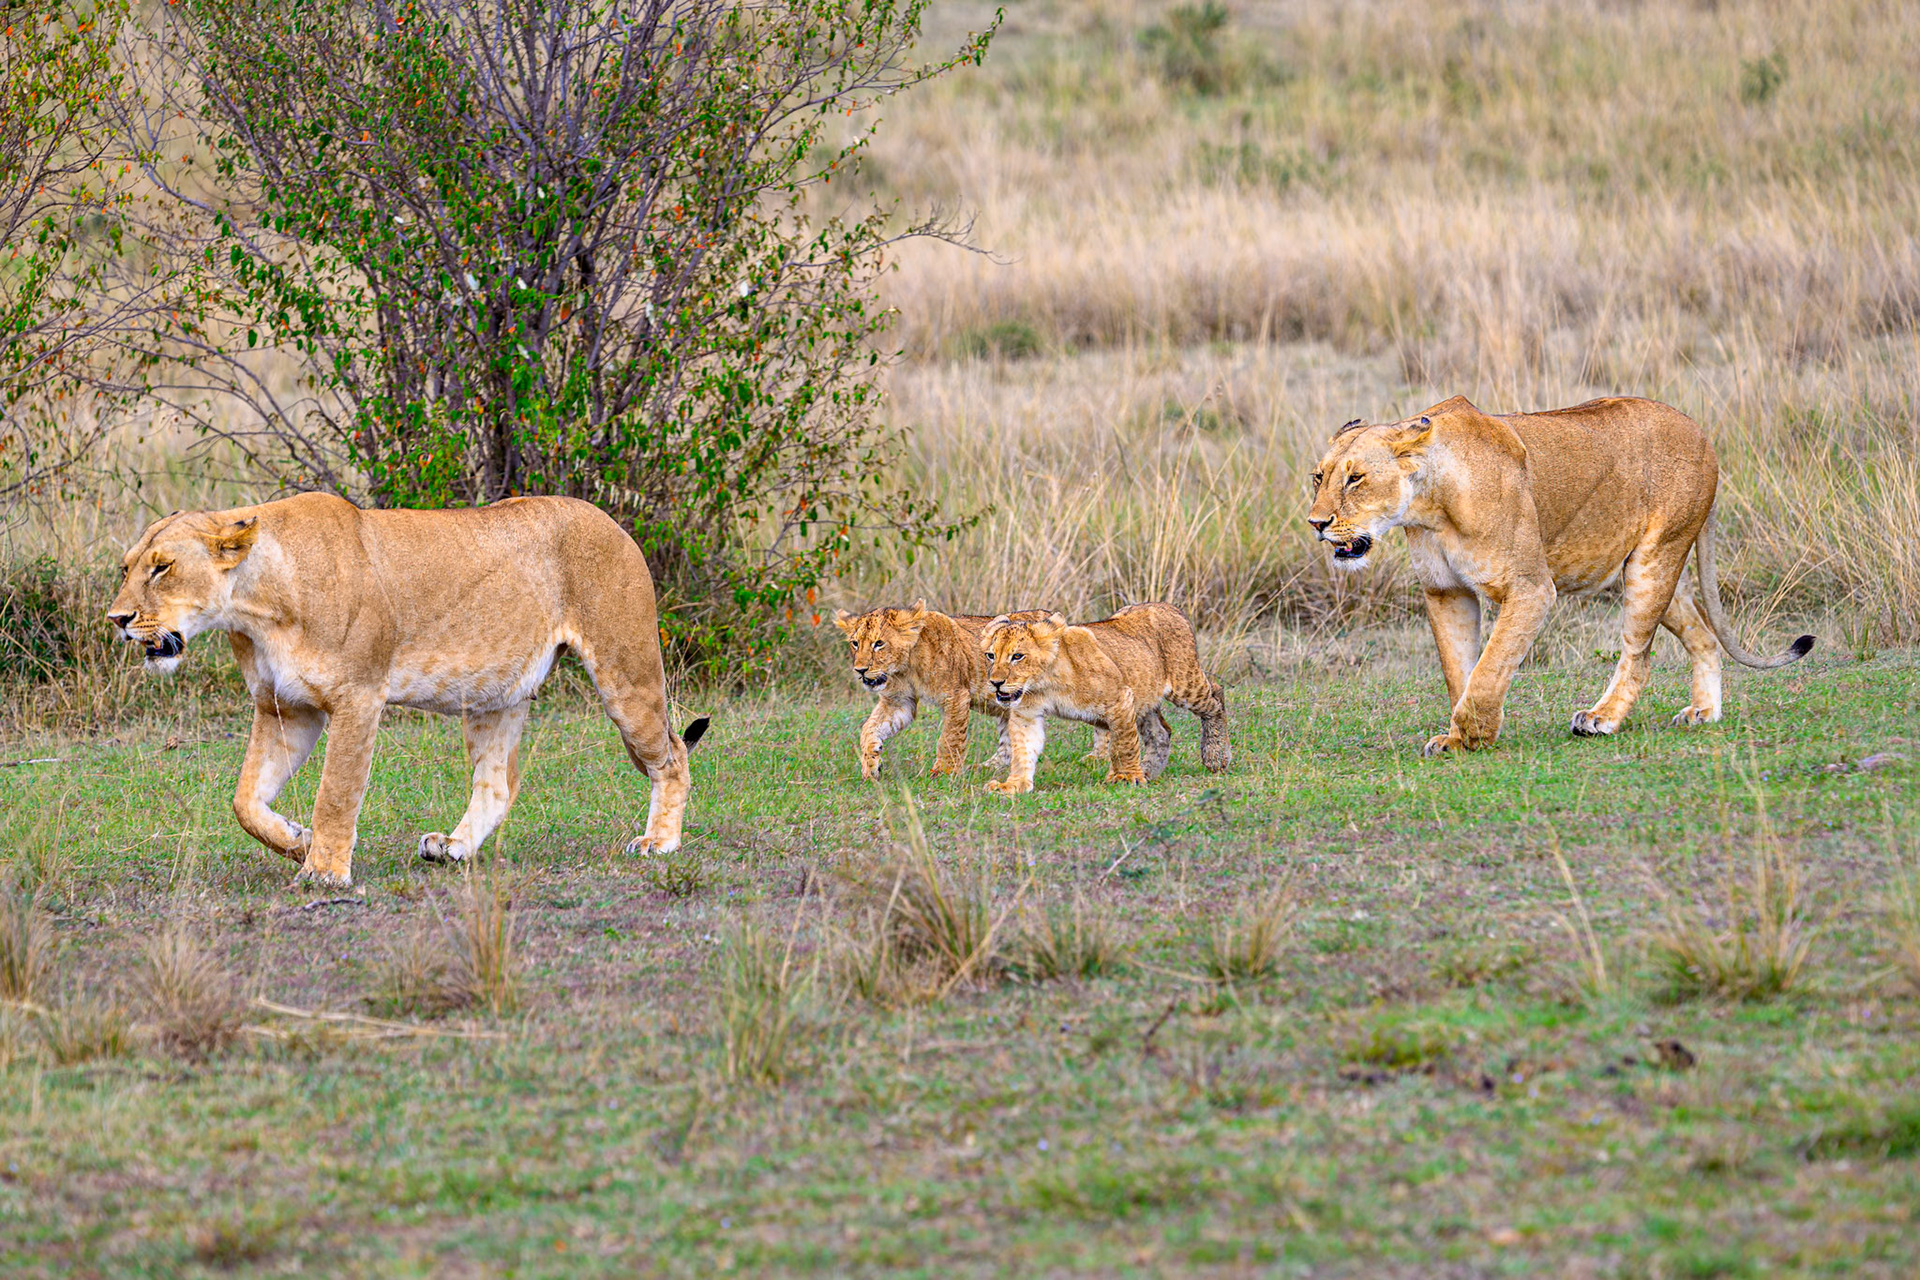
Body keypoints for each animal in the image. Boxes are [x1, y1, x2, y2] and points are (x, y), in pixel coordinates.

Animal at [106, 492, 707, 887]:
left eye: (162, 568)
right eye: (126, 568)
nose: (117, 618)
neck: (254, 609)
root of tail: (613, 522)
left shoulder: (357, 697)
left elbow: (336, 792)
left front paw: (323, 871)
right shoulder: (285, 708)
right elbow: (244, 801)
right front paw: (298, 841)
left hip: (625, 673)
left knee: (673, 754)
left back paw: (659, 842)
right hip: (494, 694)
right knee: (498, 783)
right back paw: (453, 847)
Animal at [833, 603, 1107, 779]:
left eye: (879, 643)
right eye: (855, 643)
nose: (860, 670)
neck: (904, 667)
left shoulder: (955, 695)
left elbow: (949, 738)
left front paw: (943, 773)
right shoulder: (899, 701)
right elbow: (869, 729)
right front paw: (871, 765)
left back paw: (1098, 758)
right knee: (1008, 743)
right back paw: (986, 767)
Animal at [978, 603, 1230, 794]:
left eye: (1017, 656)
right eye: (991, 655)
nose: (995, 682)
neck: (1044, 684)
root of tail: (1171, 607)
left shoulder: (1120, 699)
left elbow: (1122, 744)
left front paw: (1126, 777)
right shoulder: (1026, 715)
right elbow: (1022, 750)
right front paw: (1013, 785)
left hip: (1185, 684)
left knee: (1216, 696)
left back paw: (1216, 756)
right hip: (1144, 696)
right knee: (1161, 732)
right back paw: (1148, 770)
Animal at [1306, 395, 1813, 756]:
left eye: (1356, 478)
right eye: (1319, 477)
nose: (1317, 523)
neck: (1429, 507)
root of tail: (1701, 431)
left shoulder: (1531, 589)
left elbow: (1489, 668)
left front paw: (1474, 733)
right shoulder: (1445, 591)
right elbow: (1459, 670)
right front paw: (1456, 737)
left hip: (1654, 561)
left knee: (1638, 655)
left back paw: (1602, 718)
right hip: (1645, 569)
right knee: (1705, 637)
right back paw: (1704, 712)